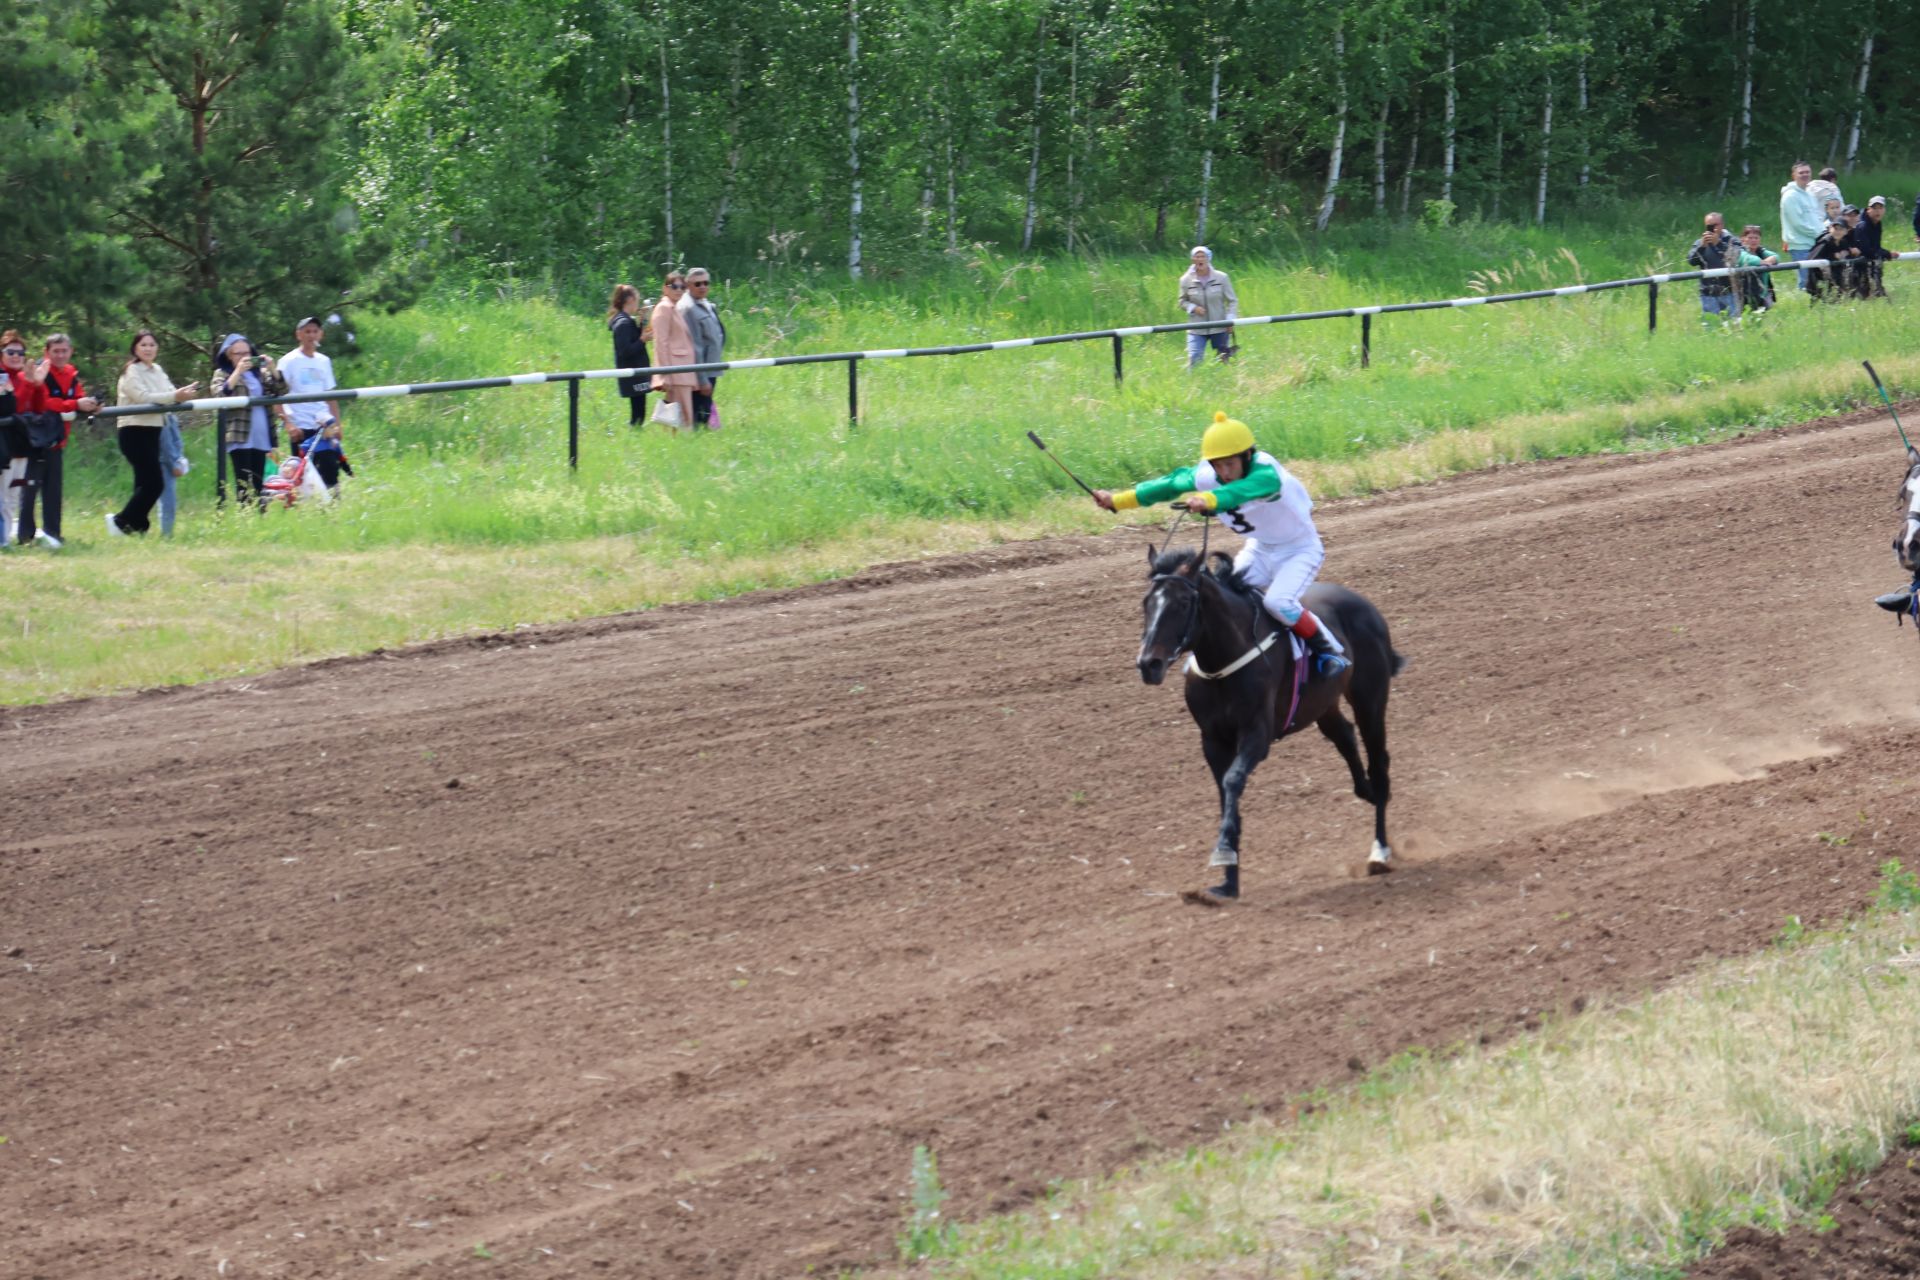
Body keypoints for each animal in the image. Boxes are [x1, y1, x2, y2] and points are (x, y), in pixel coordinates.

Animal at [1128, 548, 1405, 901]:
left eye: (1182, 603)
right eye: (1146, 602)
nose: (1148, 664)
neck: (1224, 659)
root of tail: (1365, 604)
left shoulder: (1257, 735)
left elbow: (1233, 781)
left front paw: (1222, 852)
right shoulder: (1212, 740)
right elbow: (1225, 798)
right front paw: (1228, 882)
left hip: (1370, 699)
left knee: (1379, 763)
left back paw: (1379, 850)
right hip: (1323, 704)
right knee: (1345, 736)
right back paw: (1365, 791)